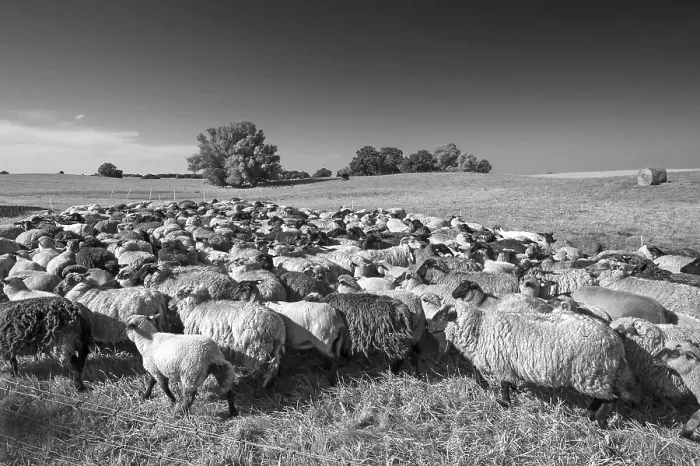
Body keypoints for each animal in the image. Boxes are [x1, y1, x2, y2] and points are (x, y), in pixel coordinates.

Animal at [428, 302, 640, 428]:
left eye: (442, 315)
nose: (429, 327)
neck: (480, 327)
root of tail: (616, 342)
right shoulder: (506, 364)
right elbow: (506, 382)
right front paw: (509, 391)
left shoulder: (502, 363)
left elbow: (503, 385)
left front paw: (504, 402)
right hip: (596, 374)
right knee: (603, 396)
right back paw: (590, 413)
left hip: (592, 372)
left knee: (610, 399)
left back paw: (599, 421)